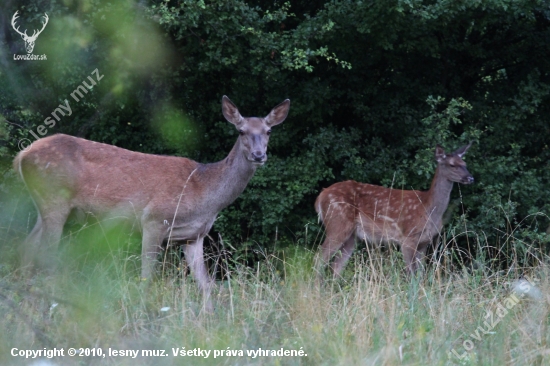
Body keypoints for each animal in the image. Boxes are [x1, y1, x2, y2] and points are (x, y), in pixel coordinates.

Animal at [15, 96, 292, 310]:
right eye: (241, 131)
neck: (203, 192)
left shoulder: (194, 236)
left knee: (27, 247)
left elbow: (205, 285)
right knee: (46, 253)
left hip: (44, 206)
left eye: (268, 131)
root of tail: (22, 155)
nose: (259, 155)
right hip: (55, 199)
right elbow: (147, 276)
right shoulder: (153, 220)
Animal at [314, 143, 474, 278]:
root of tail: (320, 197)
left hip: (351, 236)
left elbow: (420, 275)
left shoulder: (424, 242)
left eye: (465, 164)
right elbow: (411, 274)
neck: (429, 208)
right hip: (337, 223)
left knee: (336, 266)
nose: (470, 178)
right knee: (319, 258)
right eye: (452, 165)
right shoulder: (407, 237)